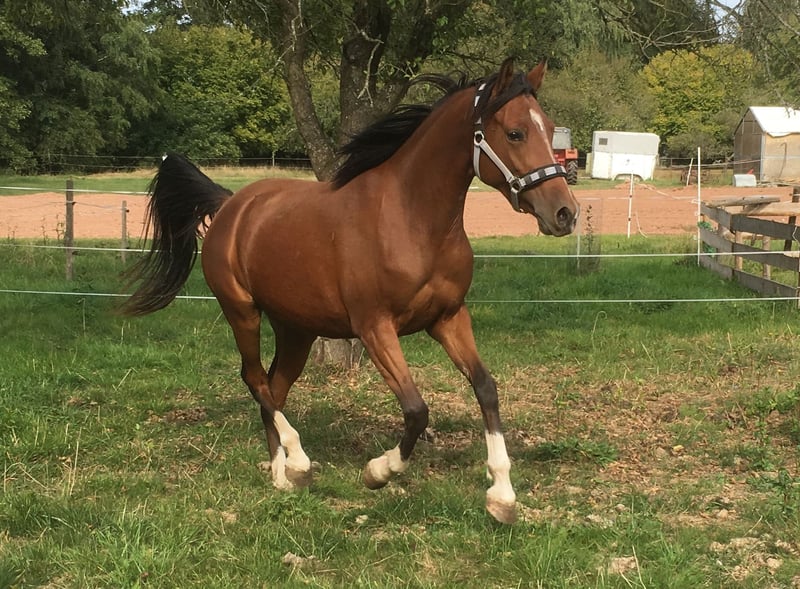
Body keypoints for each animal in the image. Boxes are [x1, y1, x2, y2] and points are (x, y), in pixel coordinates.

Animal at [122, 57, 579, 524]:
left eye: (550, 128)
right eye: (515, 133)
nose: (565, 213)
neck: (413, 219)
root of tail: (231, 204)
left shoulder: (449, 317)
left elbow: (486, 387)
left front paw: (502, 495)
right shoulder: (375, 326)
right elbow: (416, 410)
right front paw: (378, 471)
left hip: (296, 330)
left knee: (274, 386)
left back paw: (282, 475)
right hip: (242, 312)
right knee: (255, 379)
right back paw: (299, 463)